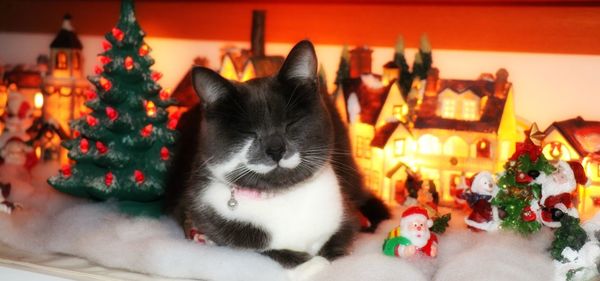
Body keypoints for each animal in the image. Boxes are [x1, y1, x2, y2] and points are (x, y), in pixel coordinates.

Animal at [166, 40, 390, 272]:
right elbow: (269, 250)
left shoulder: (343, 219)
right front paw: (310, 263)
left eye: (291, 123)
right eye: (248, 132)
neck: (282, 196)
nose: (275, 150)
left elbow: (336, 247)